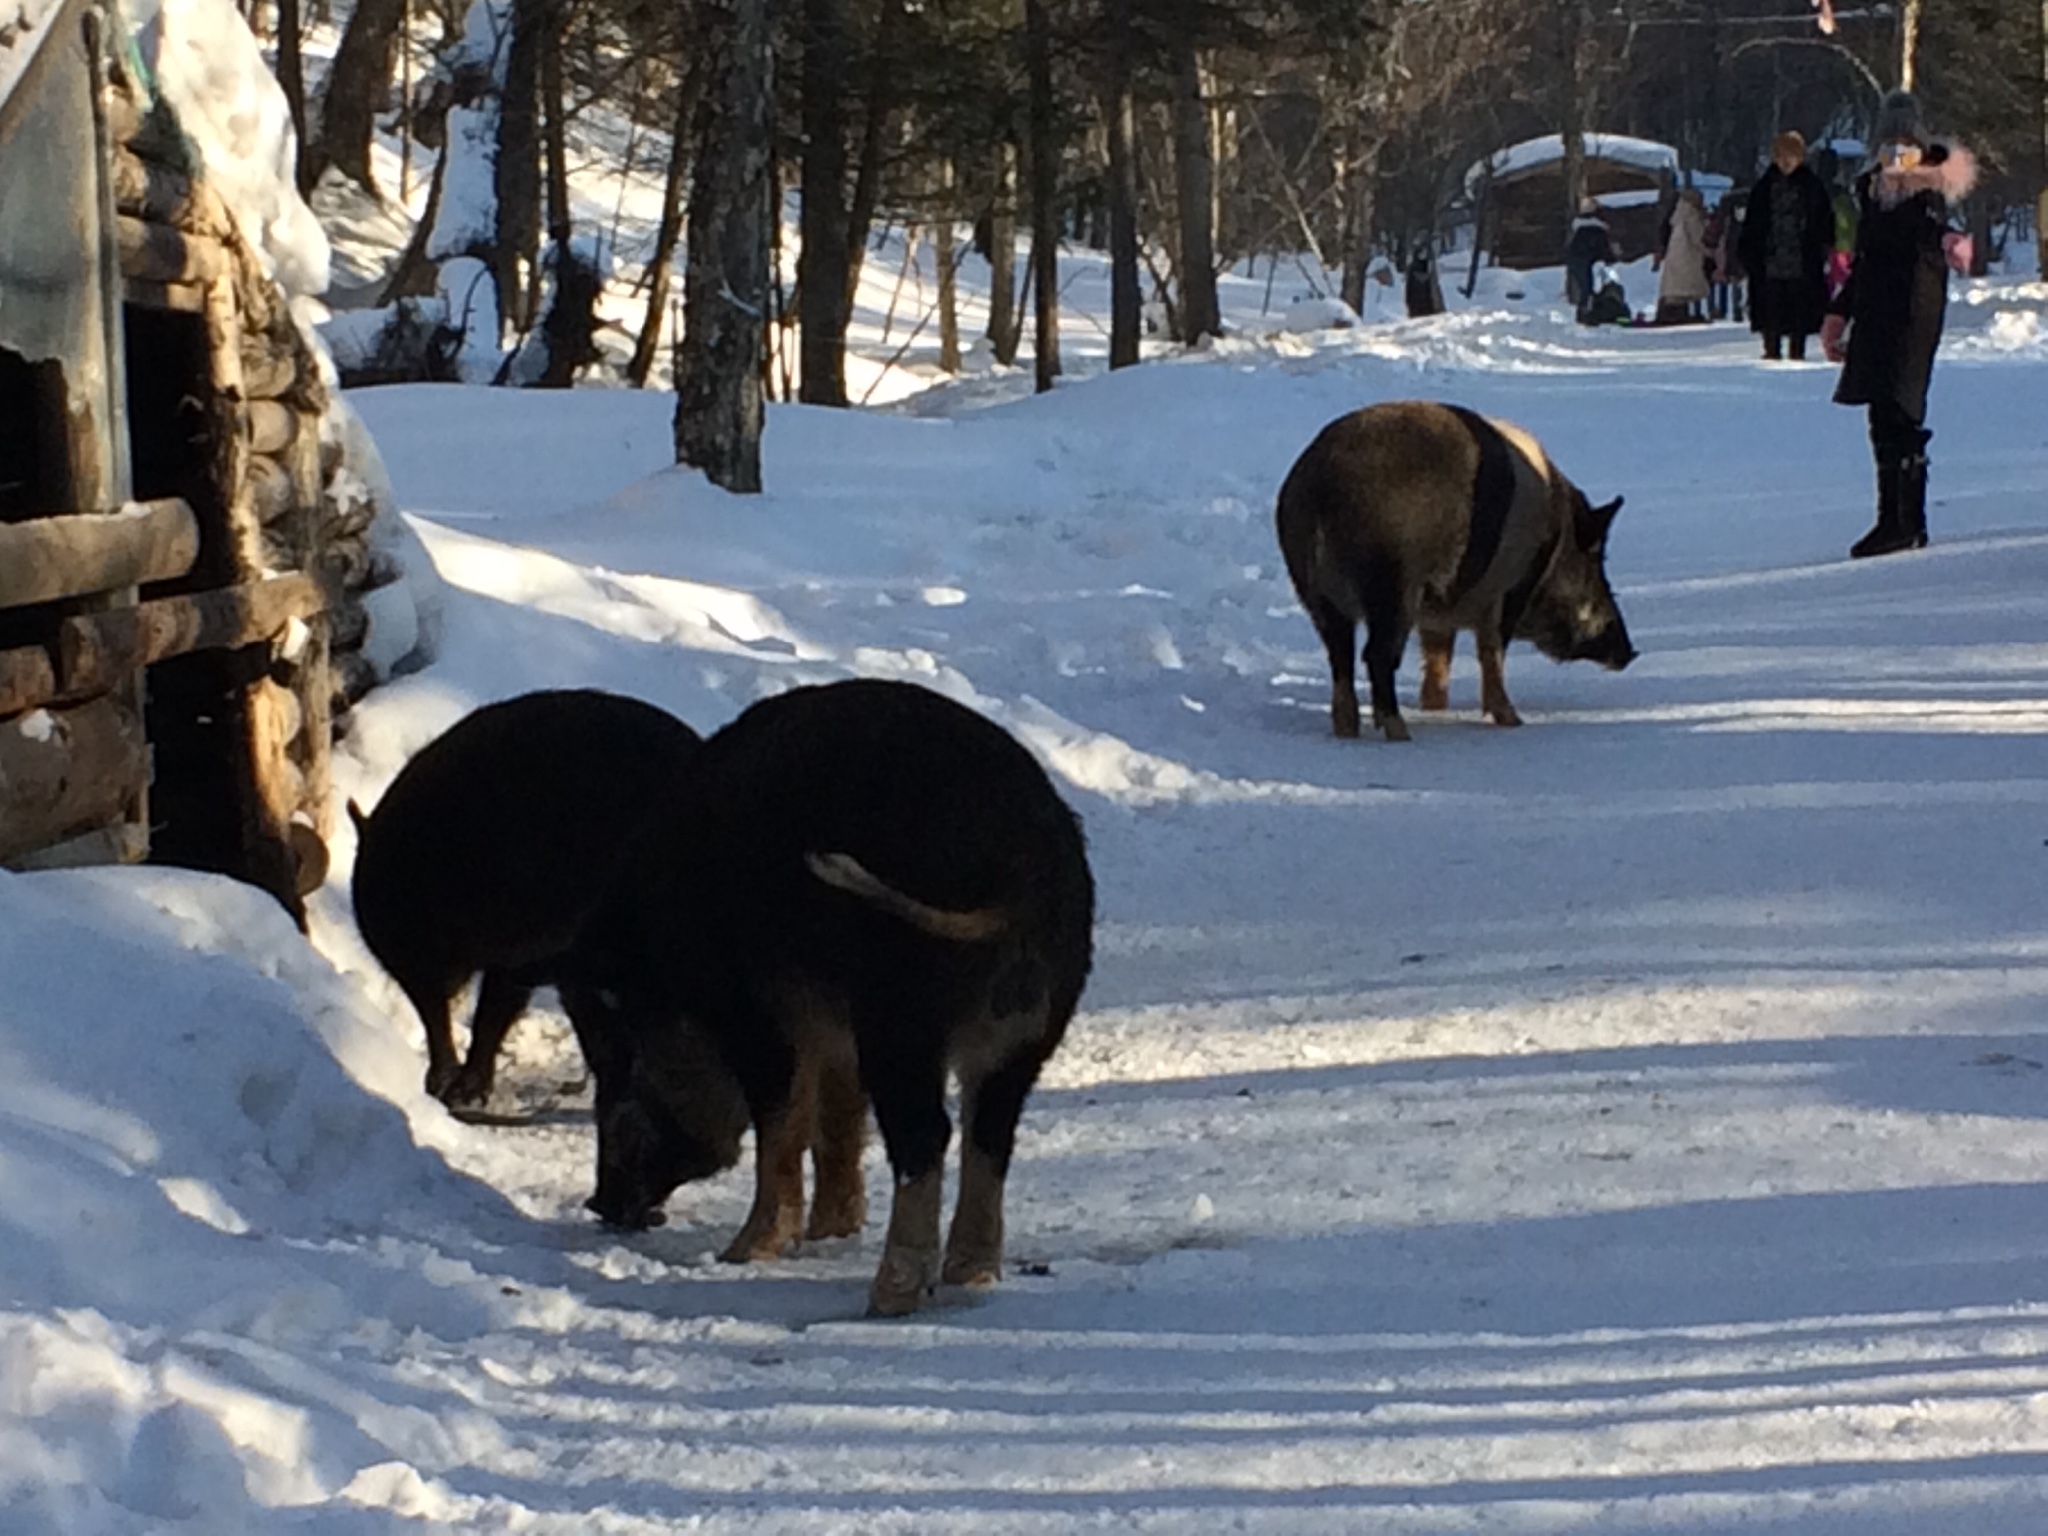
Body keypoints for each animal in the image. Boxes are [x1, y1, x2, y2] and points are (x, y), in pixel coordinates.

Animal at [565, 679, 1089, 1318]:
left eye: (620, 1056)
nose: (598, 1204)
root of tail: (1019, 868)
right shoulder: (834, 1028)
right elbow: (836, 1117)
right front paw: (829, 1235)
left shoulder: (756, 1011)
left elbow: (783, 1119)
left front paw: (743, 1255)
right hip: (1028, 1032)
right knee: (989, 1136)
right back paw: (971, 1279)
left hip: (903, 1017)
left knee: (927, 1135)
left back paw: (886, 1300)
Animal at [1277, 399, 1630, 741]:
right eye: (1596, 559)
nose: (1630, 652)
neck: (1554, 541)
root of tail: (1321, 485)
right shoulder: (1510, 590)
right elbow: (1492, 653)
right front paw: (1513, 722)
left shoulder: (1438, 614)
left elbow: (1438, 658)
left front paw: (1434, 709)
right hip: (1391, 583)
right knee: (1375, 655)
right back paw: (1400, 733)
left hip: (1315, 592)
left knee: (1341, 656)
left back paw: (1347, 731)